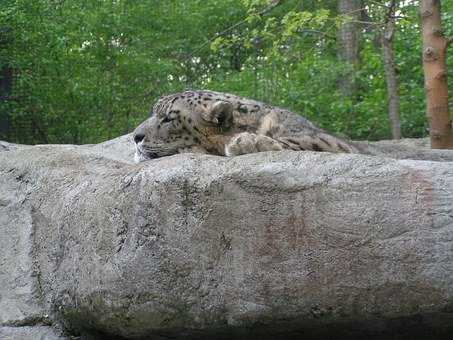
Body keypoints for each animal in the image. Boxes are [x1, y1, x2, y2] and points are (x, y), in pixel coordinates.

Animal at [132, 89, 358, 161]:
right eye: (154, 111)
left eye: (168, 118)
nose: (135, 136)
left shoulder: (330, 142)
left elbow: (299, 142)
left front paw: (246, 142)